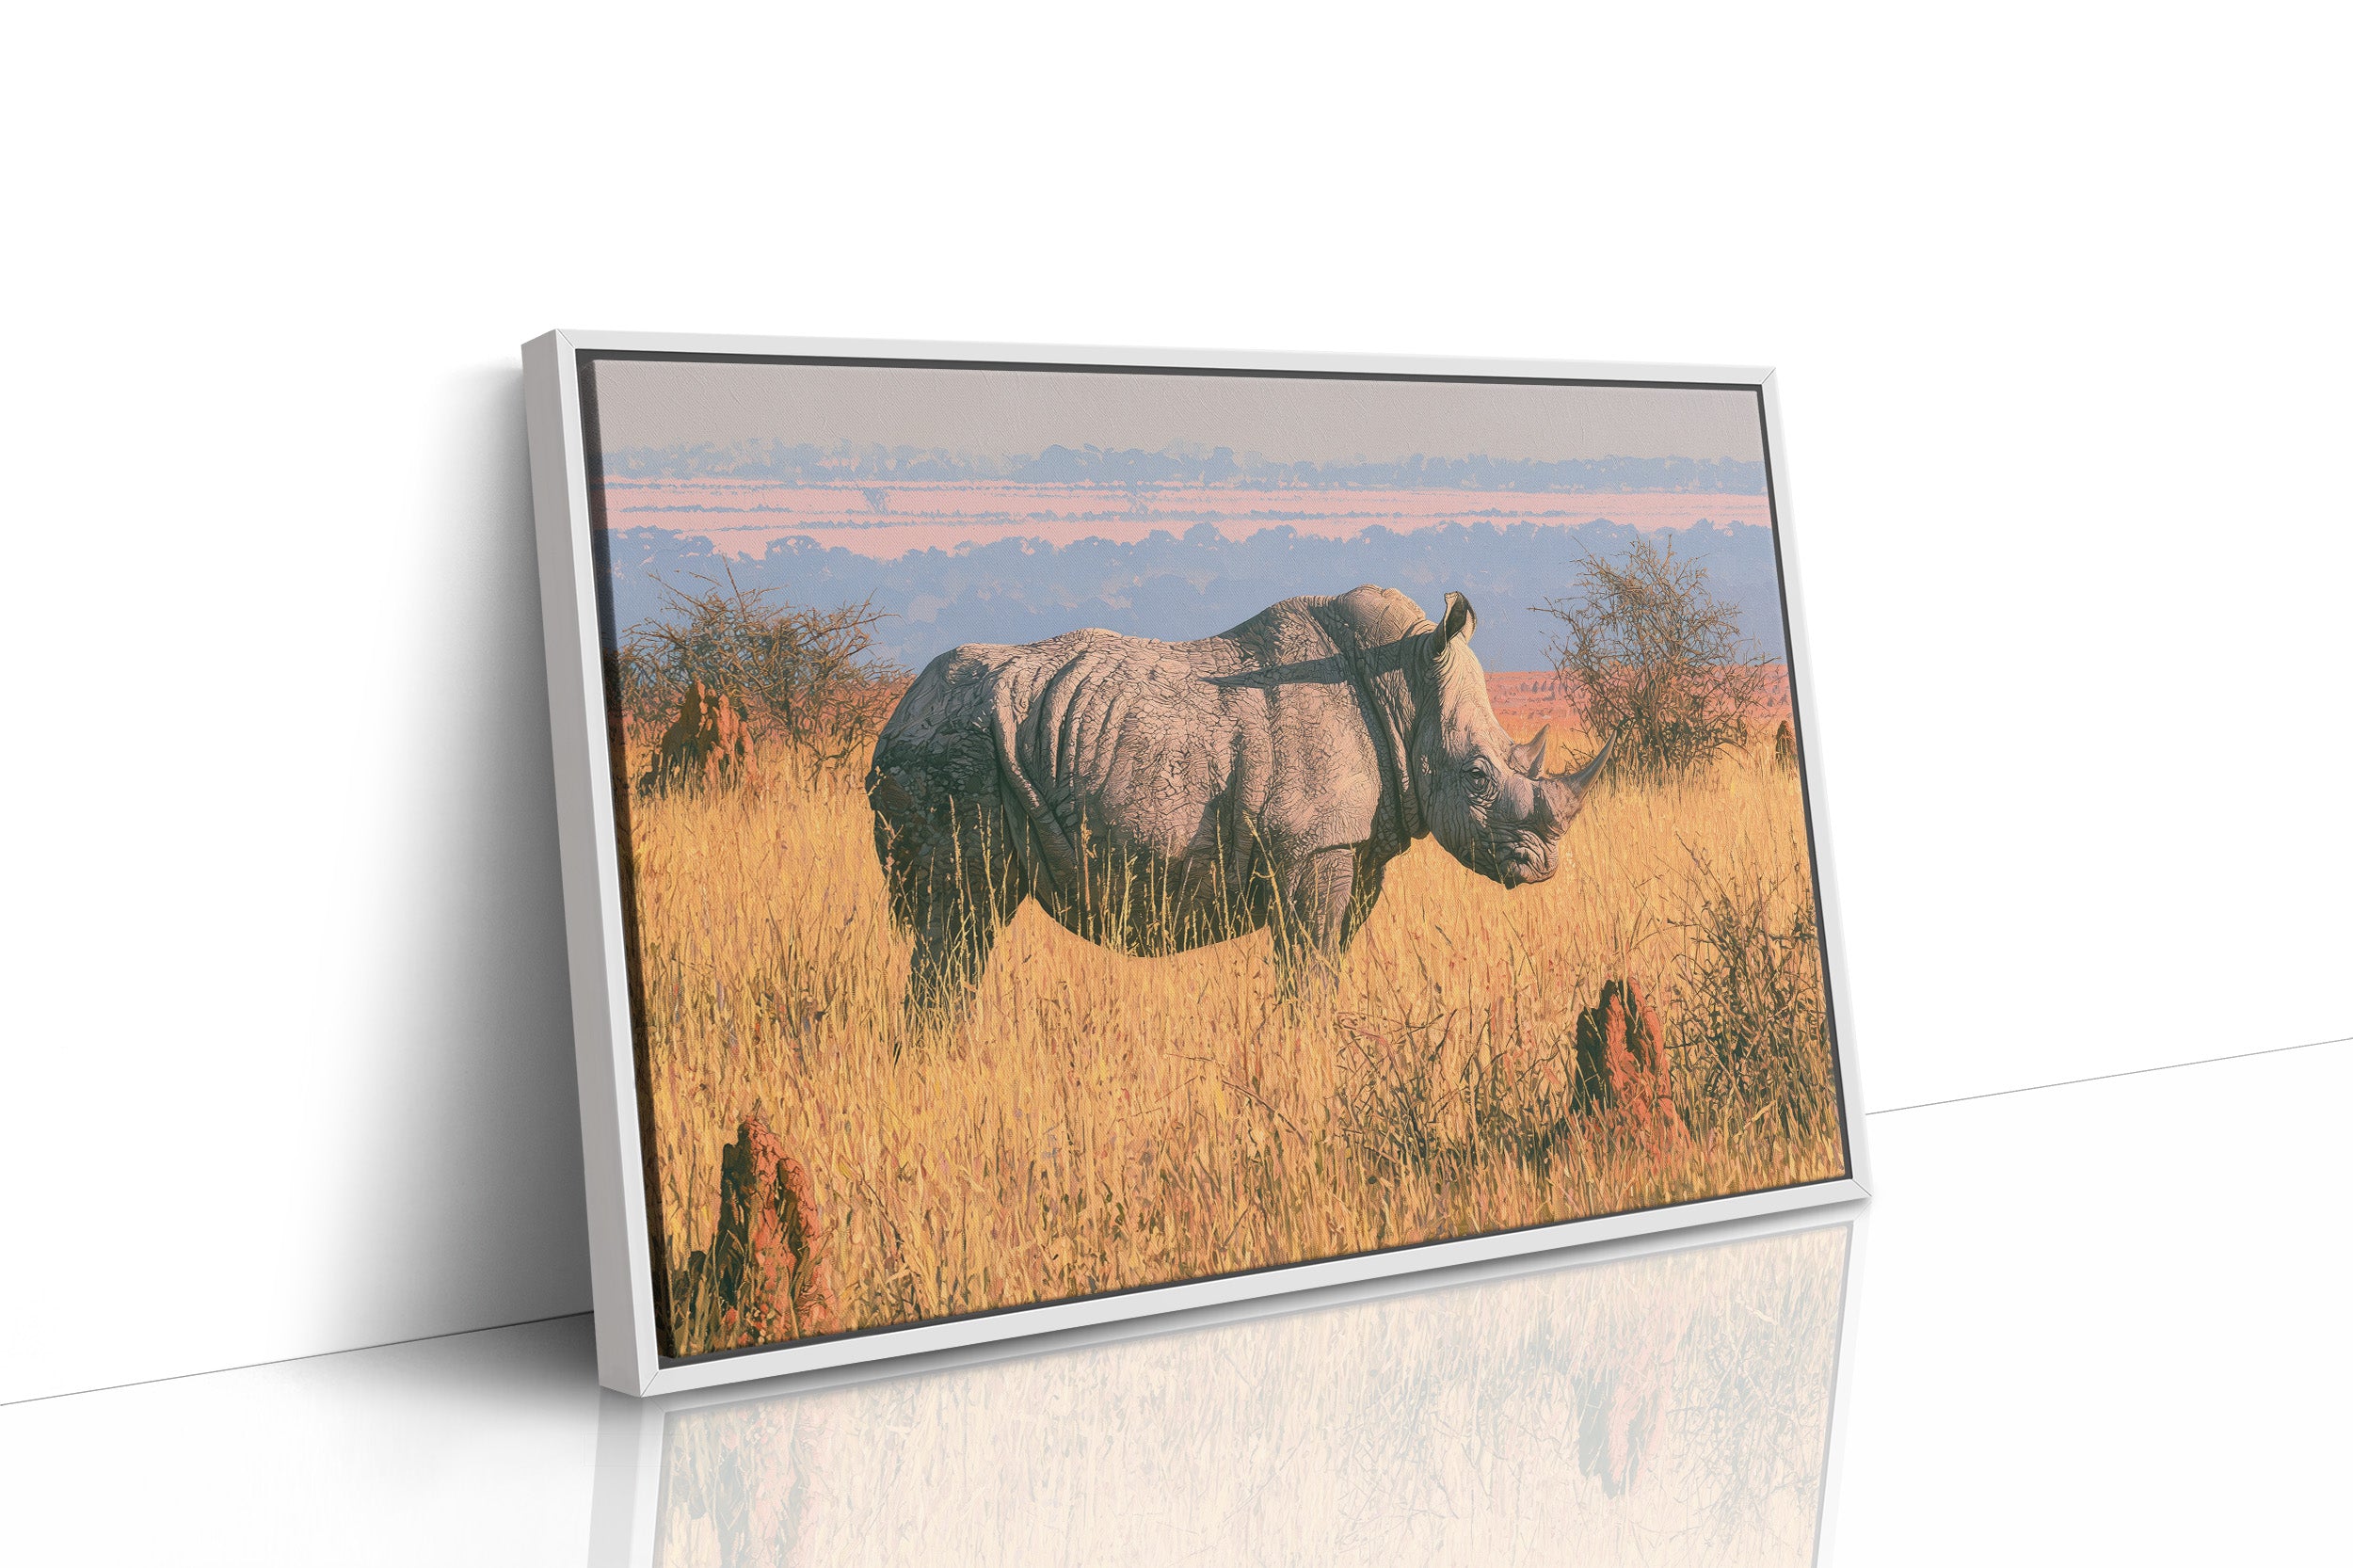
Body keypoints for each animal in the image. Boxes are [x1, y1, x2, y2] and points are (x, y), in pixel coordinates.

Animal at [865, 585, 1611, 1015]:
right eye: (1478, 775)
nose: (1542, 865)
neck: (1406, 685)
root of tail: (896, 713)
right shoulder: (1313, 845)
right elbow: (1307, 965)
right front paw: (1306, 1047)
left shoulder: (1355, 848)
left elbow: (1327, 958)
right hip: (953, 744)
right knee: (962, 911)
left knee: (967, 923)